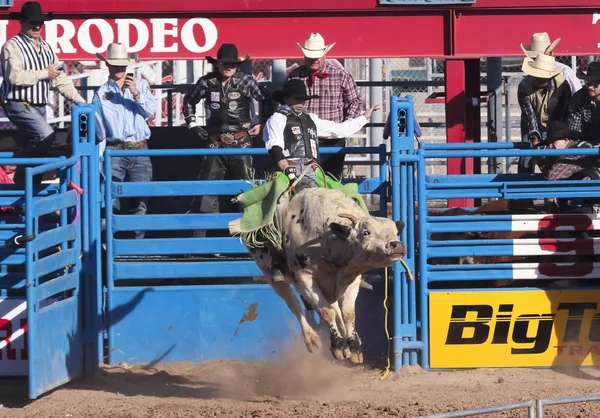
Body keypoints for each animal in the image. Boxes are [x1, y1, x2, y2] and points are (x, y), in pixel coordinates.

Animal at [245, 188, 408, 364]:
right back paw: (311, 339)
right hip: (272, 278)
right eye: (366, 232)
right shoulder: (305, 279)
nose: (397, 245)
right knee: (294, 305)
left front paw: (354, 348)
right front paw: (339, 347)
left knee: (335, 308)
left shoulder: (352, 280)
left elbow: (348, 314)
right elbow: (326, 312)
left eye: (396, 233)